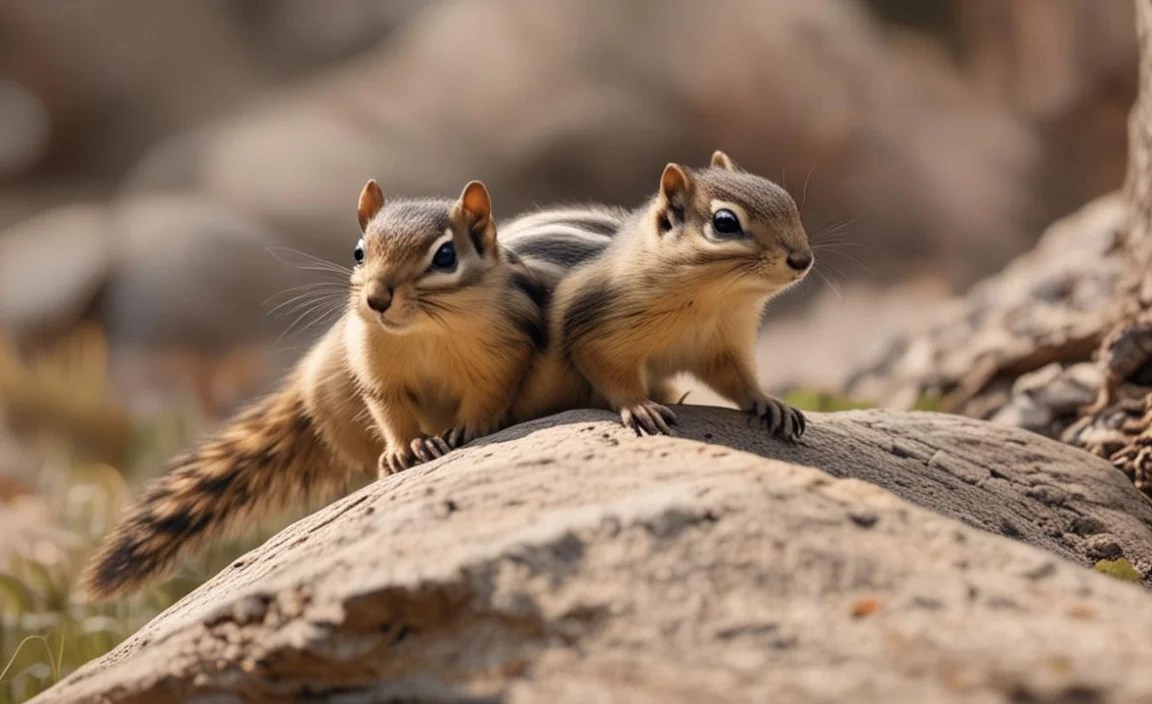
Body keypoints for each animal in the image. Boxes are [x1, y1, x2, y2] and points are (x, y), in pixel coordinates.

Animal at [82, 179, 547, 599]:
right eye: (359, 252)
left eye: (446, 256)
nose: (377, 298)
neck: (423, 332)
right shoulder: (375, 372)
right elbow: (390, 413)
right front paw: (403, 451)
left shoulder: (503, 356)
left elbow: (488, 396)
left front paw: (472, 428)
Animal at [518, 151, 814, 438]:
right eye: (725, 222)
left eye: (788, 202)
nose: (803, 260)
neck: (712, 303)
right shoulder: (597, 330)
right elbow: (610, 372)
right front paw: (638, 405)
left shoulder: (721, 346)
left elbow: (737, 380)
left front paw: (769, 401)